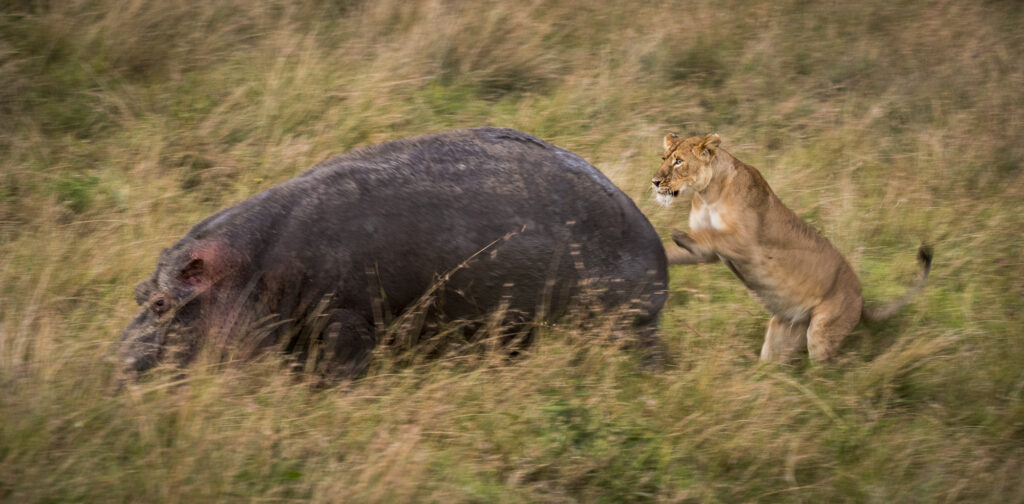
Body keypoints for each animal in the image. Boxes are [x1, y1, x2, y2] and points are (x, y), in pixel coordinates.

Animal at [120, 128, 668, 377]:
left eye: (161, 304)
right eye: (139, 292)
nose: (114, 365)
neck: (251, 270)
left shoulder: (346, 319)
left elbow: (341, 366)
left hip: (626, 325)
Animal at [652, 133, 931, 362]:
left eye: (678, 161)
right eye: (664, 158)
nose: (654, 182)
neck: (707, 193)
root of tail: (861, 300)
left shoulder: (747, 243)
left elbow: (710, 236)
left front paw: (680, 235)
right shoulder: (711, 253)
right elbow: (688, 247)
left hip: (823, 329)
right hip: (783, 335)